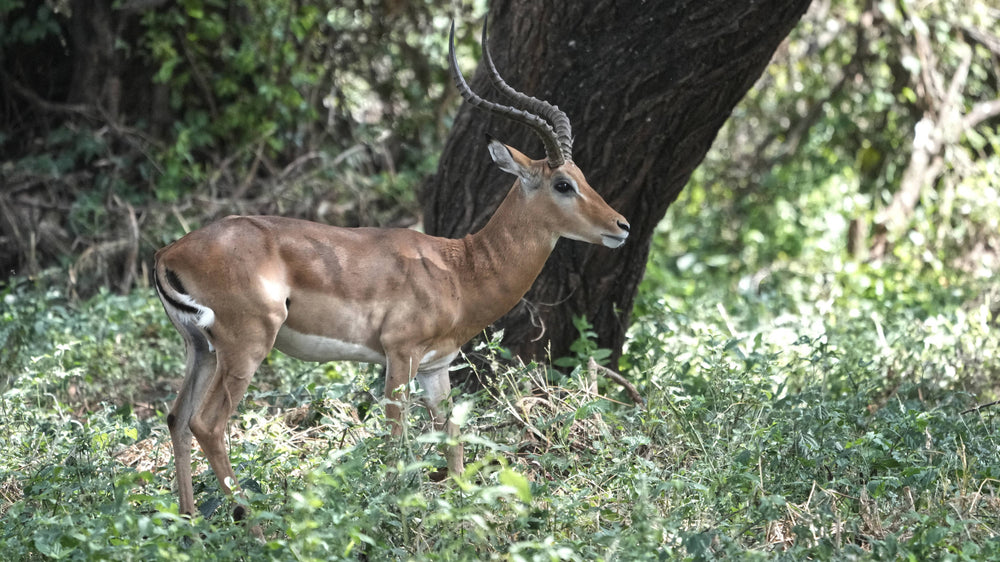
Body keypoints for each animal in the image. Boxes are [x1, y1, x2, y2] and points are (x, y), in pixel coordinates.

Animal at [153, 21, 630, 520]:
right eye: (563, 184)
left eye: (583, 176)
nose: (623, 226)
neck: (460, 269)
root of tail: (169, 253)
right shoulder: (400, 357)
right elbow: (397, 444)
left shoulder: (436, 366)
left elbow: (452, 441)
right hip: (245, 347)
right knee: (208, 424)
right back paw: (252, 524)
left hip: (202, 349)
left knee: (177, 417)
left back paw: (187, 522)